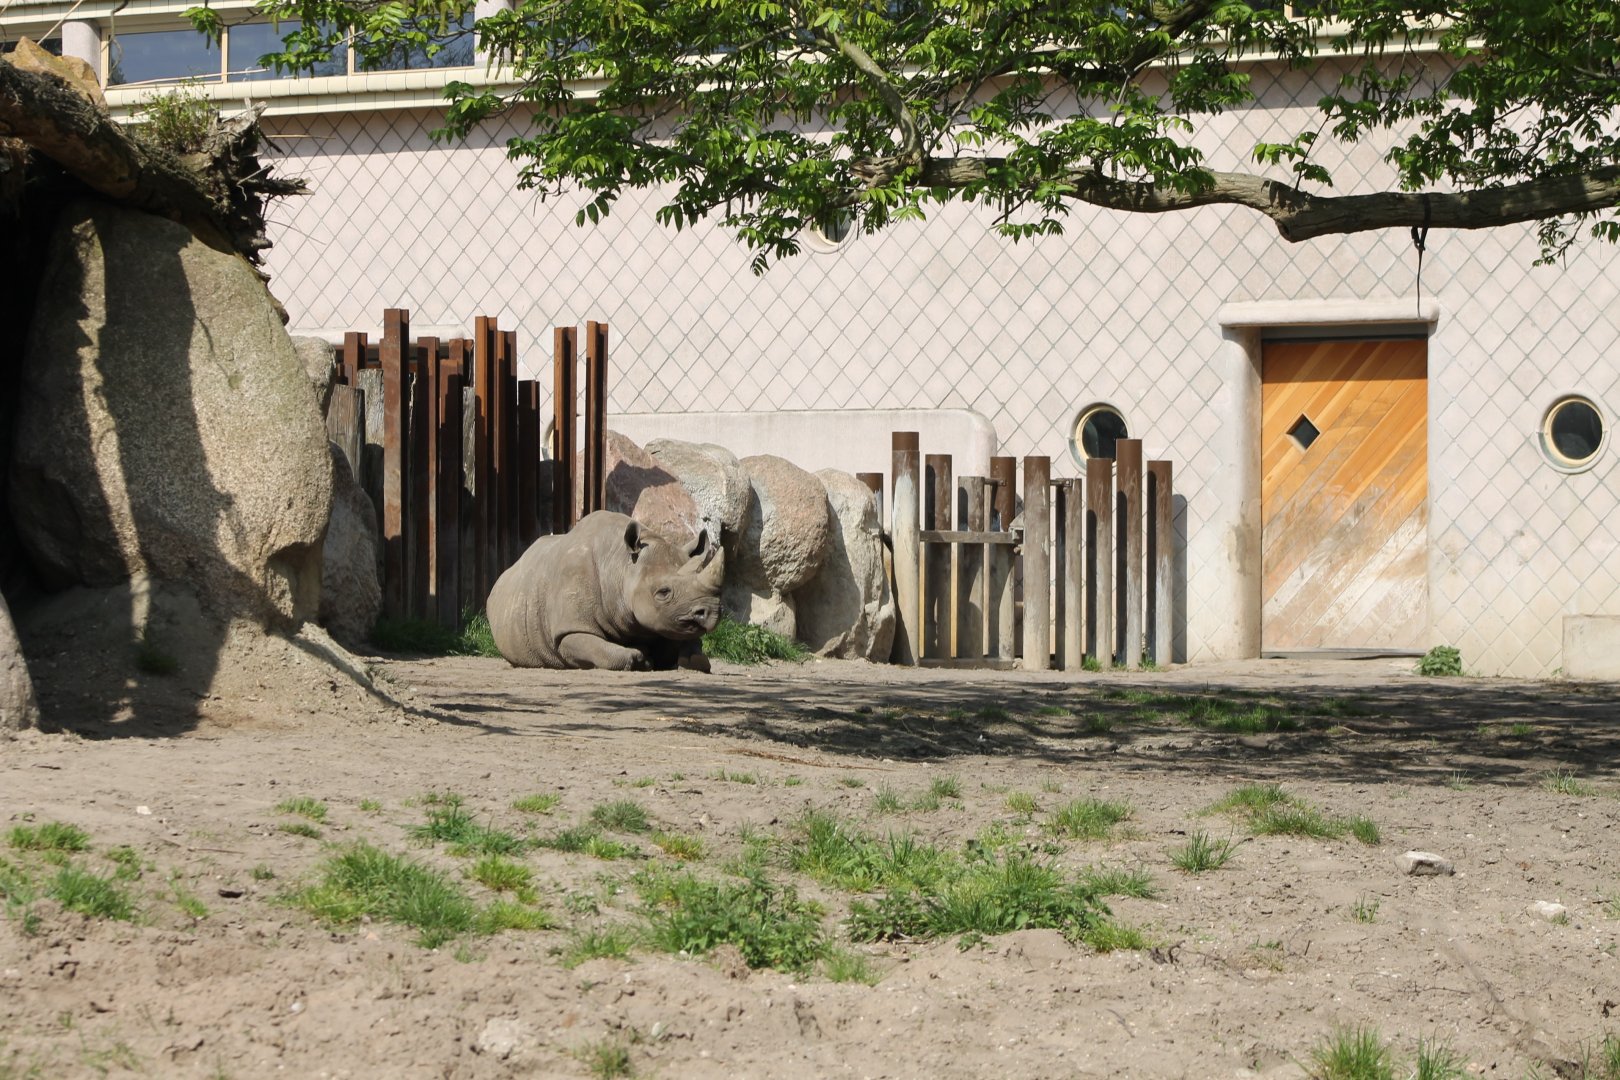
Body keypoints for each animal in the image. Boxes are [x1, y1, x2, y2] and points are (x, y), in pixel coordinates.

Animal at [486, 511, 725, 671]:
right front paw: (640, 659)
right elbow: (592, 646)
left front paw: (691, 660)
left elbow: (690, 645)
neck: (620, 566)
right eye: (663, 592)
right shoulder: (569, 627)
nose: (710, 612)